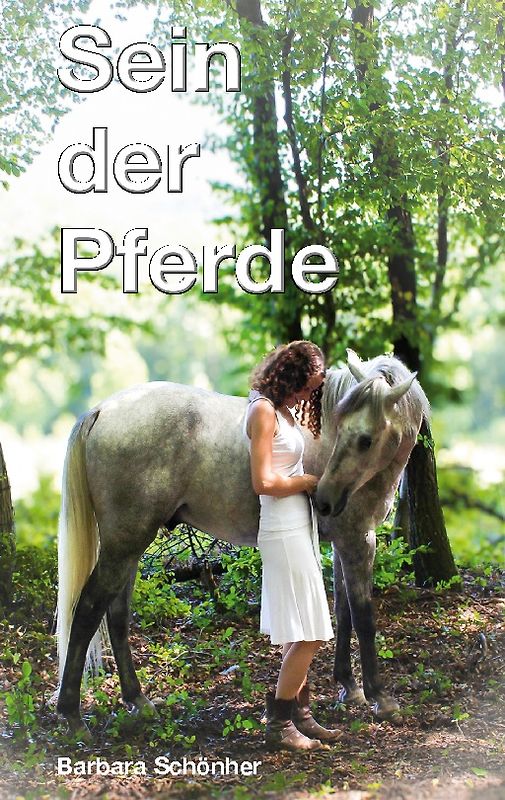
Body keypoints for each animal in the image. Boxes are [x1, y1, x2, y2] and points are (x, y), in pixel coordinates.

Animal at [54, 349, 429, 738]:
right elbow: (364, 616)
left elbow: (343, 613)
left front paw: (349, 688)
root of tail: (103, 410)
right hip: (124, 542)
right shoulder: (358, 540)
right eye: (349, 432)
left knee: (116, 613)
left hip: (128, 545)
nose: (324, 499)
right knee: (88, 608)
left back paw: (137, 701)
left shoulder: (344, 542)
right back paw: (71, 715)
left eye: (365, 439)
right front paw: (380, 699)